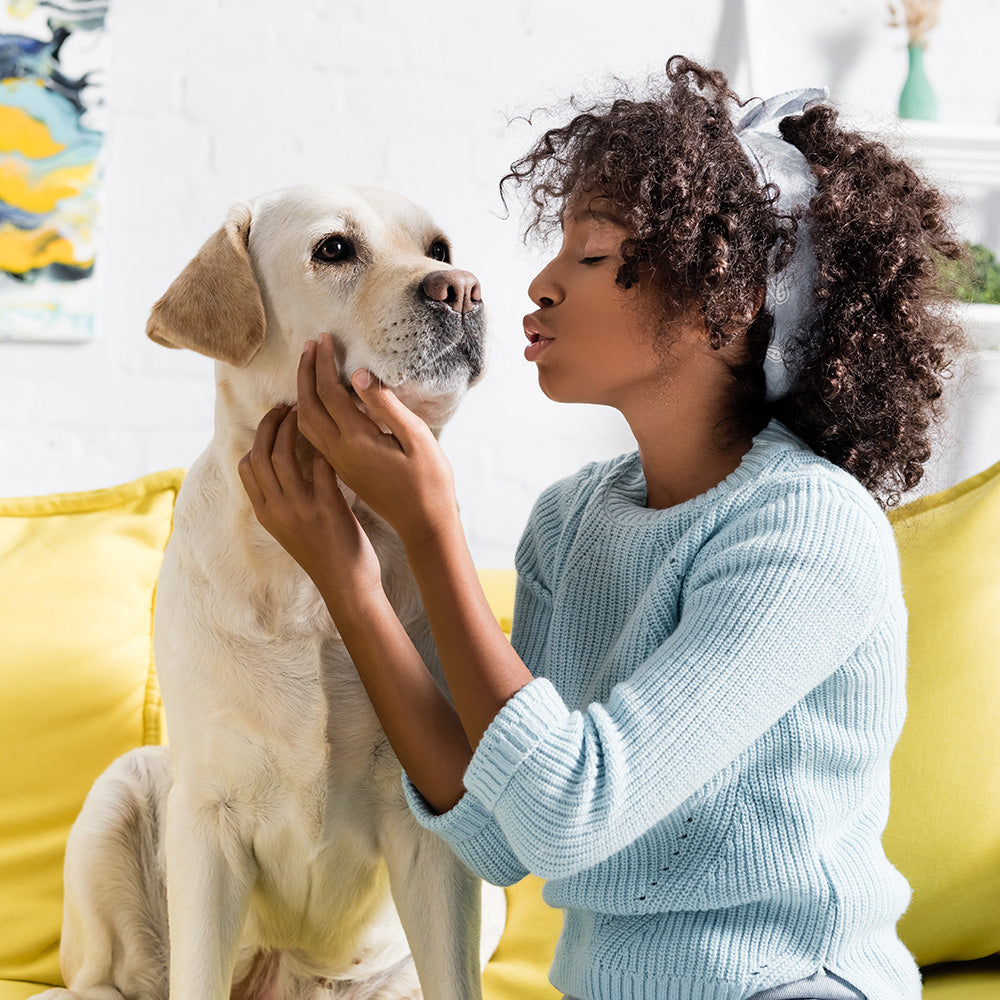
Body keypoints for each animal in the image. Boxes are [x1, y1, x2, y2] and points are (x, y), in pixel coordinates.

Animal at [34, 186, 504, 1000]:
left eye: (440, 249)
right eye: (334, 249)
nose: (465, 289)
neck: (309, 577)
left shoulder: (434, 821)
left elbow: (455, 976)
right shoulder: (208, 820)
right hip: (123, 788)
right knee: (100, 979)